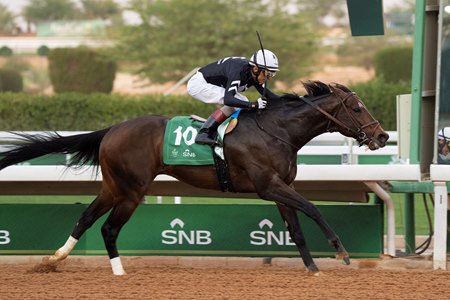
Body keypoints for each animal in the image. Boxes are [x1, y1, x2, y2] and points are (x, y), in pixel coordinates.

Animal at [0, 81, 386, 276]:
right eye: (356, 108)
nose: (381, 137)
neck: (277, 130)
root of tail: (112, 130)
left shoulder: (281, 187)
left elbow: (295, 227)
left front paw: (312, 268)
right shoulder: (268, 186)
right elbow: (314, 209)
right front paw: (341, 252)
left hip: (114, 186)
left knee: (84, 218)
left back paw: (54, 260)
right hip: (131, 190)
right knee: (108, 228)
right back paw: (118, 272)